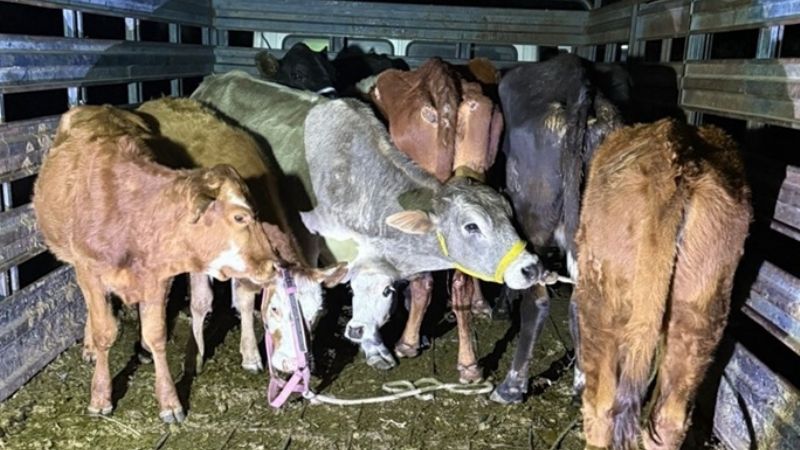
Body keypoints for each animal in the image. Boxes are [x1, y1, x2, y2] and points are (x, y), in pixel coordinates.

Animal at [32, 105, 281, 423]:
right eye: (240, 217)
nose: (273, 265)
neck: (130, 214)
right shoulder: (89, 271)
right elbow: (105, 333)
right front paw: (100, 395)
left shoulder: (158, 279)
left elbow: (157, 335)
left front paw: (169, 401)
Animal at [135, 97, 348, 374]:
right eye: (276, 308)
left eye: (316, 314)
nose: (293, 365)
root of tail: (157, 101)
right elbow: (202, 300)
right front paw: (194, 356)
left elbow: (245, 299)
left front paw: (250, 356)